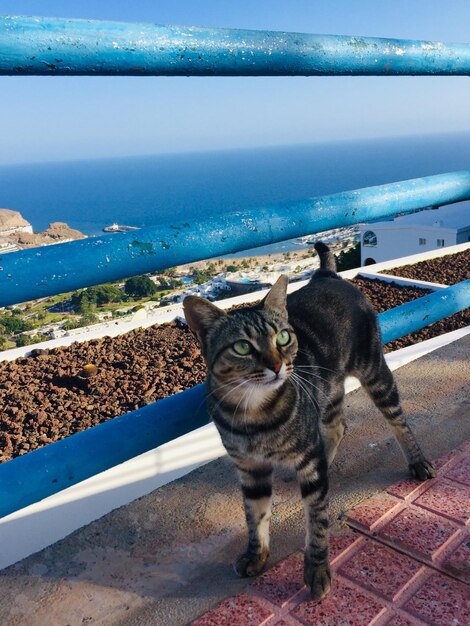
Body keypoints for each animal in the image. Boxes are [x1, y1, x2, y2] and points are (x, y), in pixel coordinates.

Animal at [182, 241, 436, 596]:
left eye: (283, 338)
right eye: (243, 347)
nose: (277, 366)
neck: (253, 413)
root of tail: (326, 275)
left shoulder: (307, 466)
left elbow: (316, 520)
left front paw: (316, 569)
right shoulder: (250, 468)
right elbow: (255, 516)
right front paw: (256, 555)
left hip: (375, 371)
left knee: (397, 419)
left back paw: (417, 461)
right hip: (328, 392)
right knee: (337, 425)